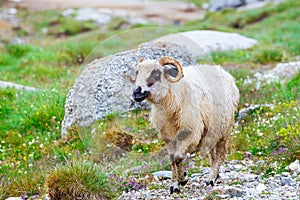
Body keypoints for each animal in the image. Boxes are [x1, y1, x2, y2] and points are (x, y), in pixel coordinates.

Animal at [131, 56, 239, 194]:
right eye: (137, 72)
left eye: (156, 73)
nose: (136, 92)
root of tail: (223, 71)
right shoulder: (167, 137)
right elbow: (172, 159)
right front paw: (174, 185)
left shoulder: (190, 133)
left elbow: (178, 157)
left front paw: (183, 179)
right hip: (211, 131)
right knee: (213, 154)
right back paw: (214, 176)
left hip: (225, 129)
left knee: (221, 153)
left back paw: (211, 178)